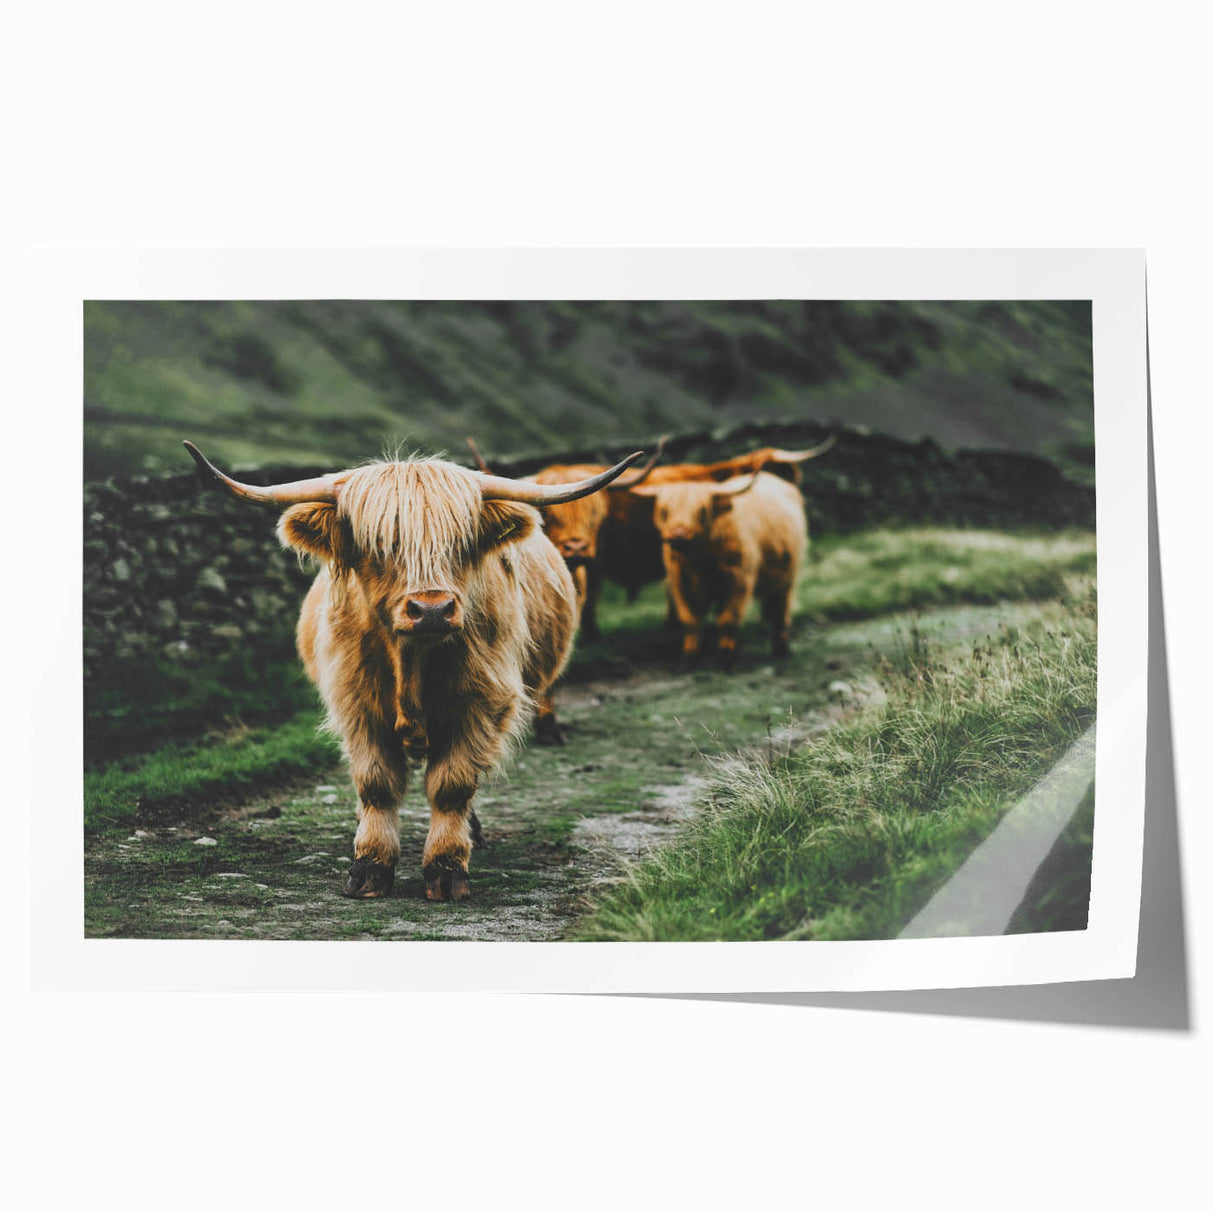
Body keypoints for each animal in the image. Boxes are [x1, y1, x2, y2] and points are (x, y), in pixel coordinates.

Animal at [182, 440, 643, 900]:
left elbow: (453, 785)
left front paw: (446, 868)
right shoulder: (356, 705)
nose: (432, 609)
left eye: (462, 541)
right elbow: (376, 784)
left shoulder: (481, 705)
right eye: (378, 543)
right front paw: (369, 866)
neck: (411, 662)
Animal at [627, 469, 808, 669]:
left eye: (702, 510)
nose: (679, 534)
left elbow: (728, 619)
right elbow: (690, 620)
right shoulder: (679, 582)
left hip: (787, 575)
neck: (700, 560)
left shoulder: (740, 579)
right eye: (664, 511)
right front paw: (689, 658)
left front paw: (725, 659)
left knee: (780, 611)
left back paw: (780, 648)